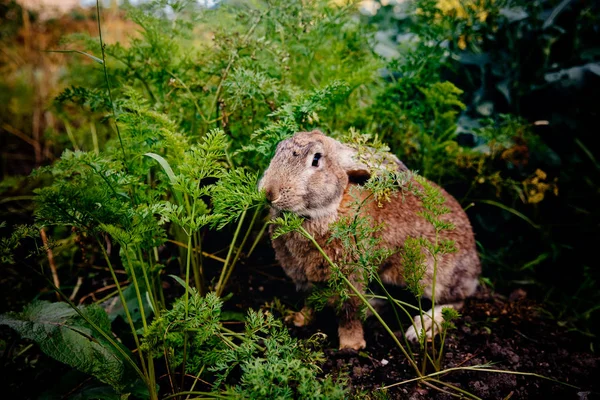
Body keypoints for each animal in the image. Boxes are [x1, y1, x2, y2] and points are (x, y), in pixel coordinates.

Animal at [260, 131, 480, 350]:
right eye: (278, 150)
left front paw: (351, 345)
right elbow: (311, 302)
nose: (270, 192)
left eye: (316, 159)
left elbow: (349, 312)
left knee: (456, 300)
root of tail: (475, 265)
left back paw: (423, 328)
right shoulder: (308, 281)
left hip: (430, 273)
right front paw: (299, 319)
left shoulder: (351, 277)